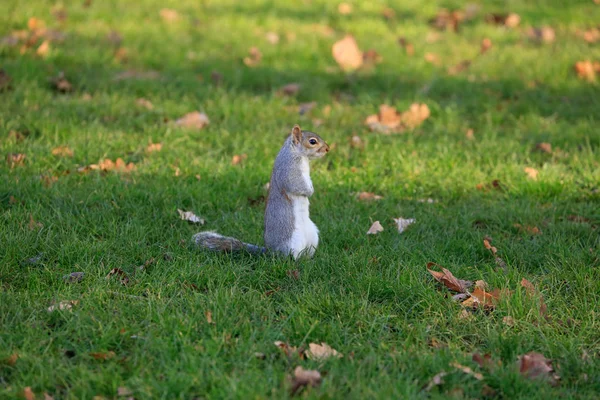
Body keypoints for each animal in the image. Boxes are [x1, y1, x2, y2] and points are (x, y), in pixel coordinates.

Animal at [193, 123, 328, 260]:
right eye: (312, 141)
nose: (327, 148)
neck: (296, 152)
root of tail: (270, 251)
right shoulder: (289, 170)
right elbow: (296, 185)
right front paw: (310, 191)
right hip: (292, 243)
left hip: (313, 236)